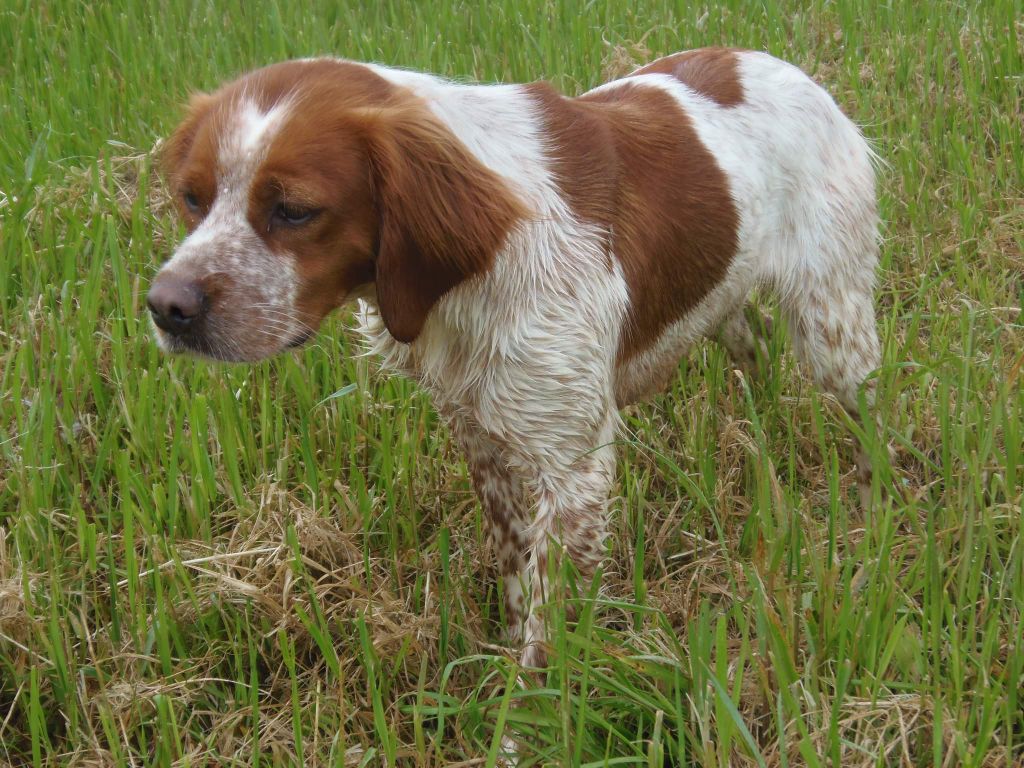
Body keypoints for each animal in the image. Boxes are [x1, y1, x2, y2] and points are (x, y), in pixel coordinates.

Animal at [149, 51, 880, 671]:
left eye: (294, 210)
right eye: (192, 198)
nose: (165, 307)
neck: (475, 274)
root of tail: (785, 68)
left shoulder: (574, 471)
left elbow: (544, 645)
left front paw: (523, 726)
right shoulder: (480, 436)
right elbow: (515, 577)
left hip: (832, 328)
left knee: (866, 412)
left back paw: (876, 501)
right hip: (728, 306)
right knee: (758, 352)